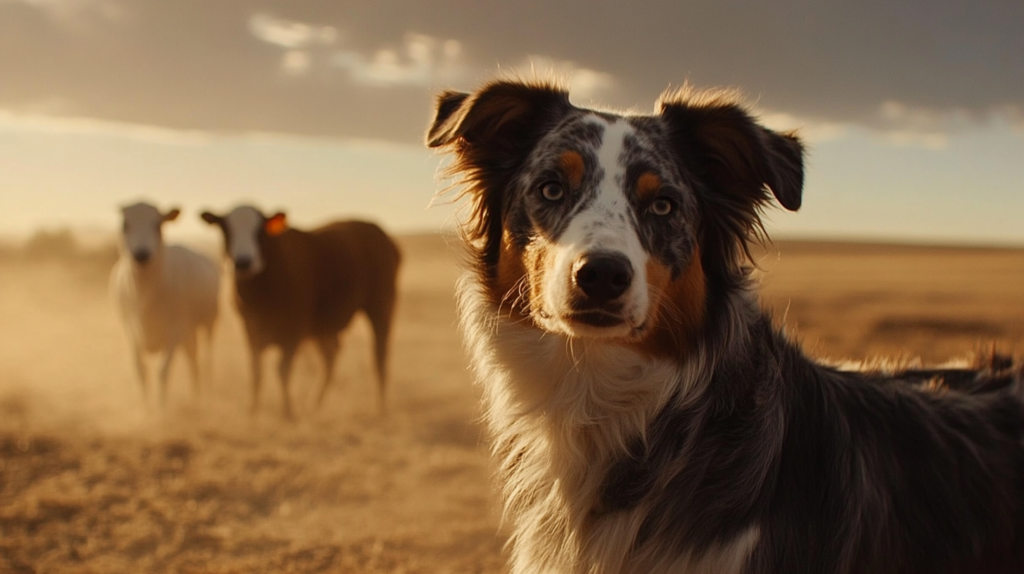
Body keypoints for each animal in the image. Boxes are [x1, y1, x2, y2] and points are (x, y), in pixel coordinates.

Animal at [109, 201, 219, 403]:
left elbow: (163, 371)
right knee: (193, 358)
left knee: (205, 360)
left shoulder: (175, 330)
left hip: (209, 321)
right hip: (189, 331)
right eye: (125, 225)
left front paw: (162, 407)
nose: (141, 254)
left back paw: (203, 395)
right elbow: (141, 371)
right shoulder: (130, 331)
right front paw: (146, 407)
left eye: (157, 224)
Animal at [201, 204, 401, 415]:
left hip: (380, 308)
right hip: (324, 328)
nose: (243, 262)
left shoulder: (295, 327)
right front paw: (253, 410)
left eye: (260, 230)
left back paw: (380, 409)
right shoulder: (250, 327)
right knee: (331, 356)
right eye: (226, 229)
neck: (263, 291)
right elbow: (256, 370)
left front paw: (287, 412)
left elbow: (282, 369)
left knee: (379, 358)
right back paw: (315, 403)